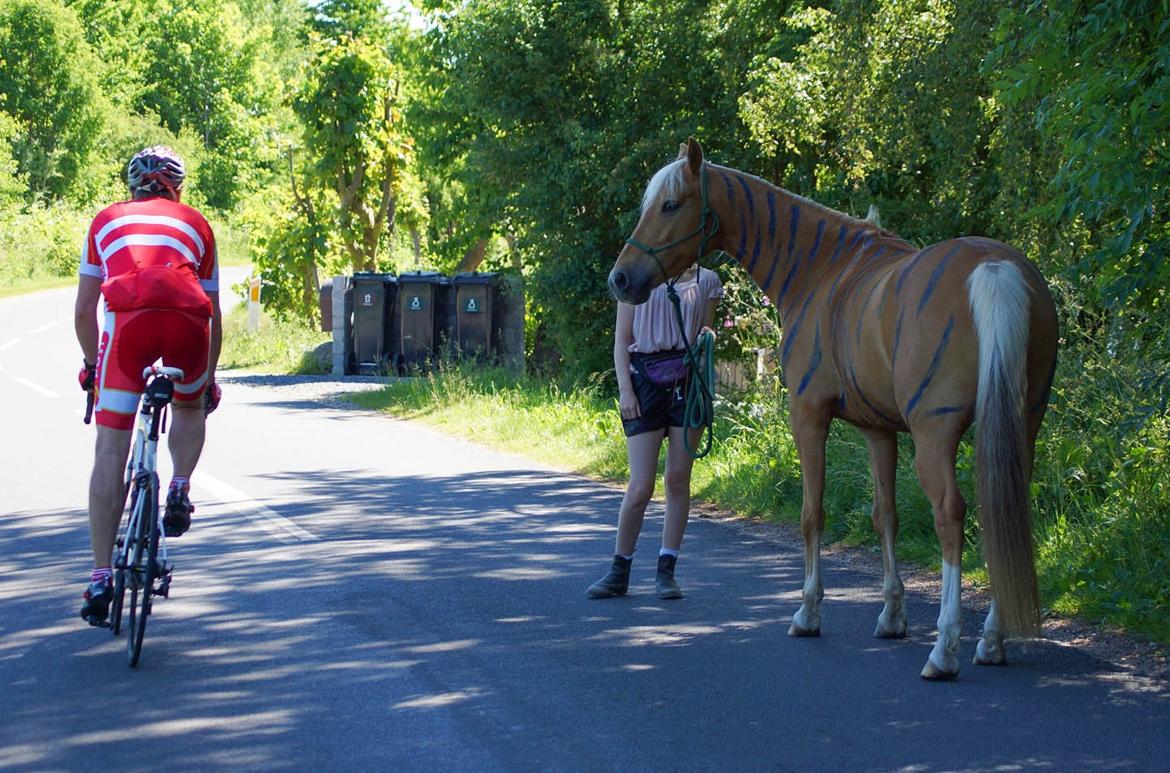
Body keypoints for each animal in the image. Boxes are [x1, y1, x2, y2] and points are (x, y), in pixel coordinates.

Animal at [613, 137, 1062, 673]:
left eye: (670, 205)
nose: (620, 279)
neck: (820, 269)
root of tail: (994, 269)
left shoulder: (808, 417)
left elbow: (813, 514)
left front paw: (808, 612)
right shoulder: (878, 430)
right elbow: (884, 515)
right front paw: (891, 616)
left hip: (935, 436)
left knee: (950, 515)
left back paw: (944, 647)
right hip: (1020, 427)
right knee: (1001, 512)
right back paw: (991, 640)